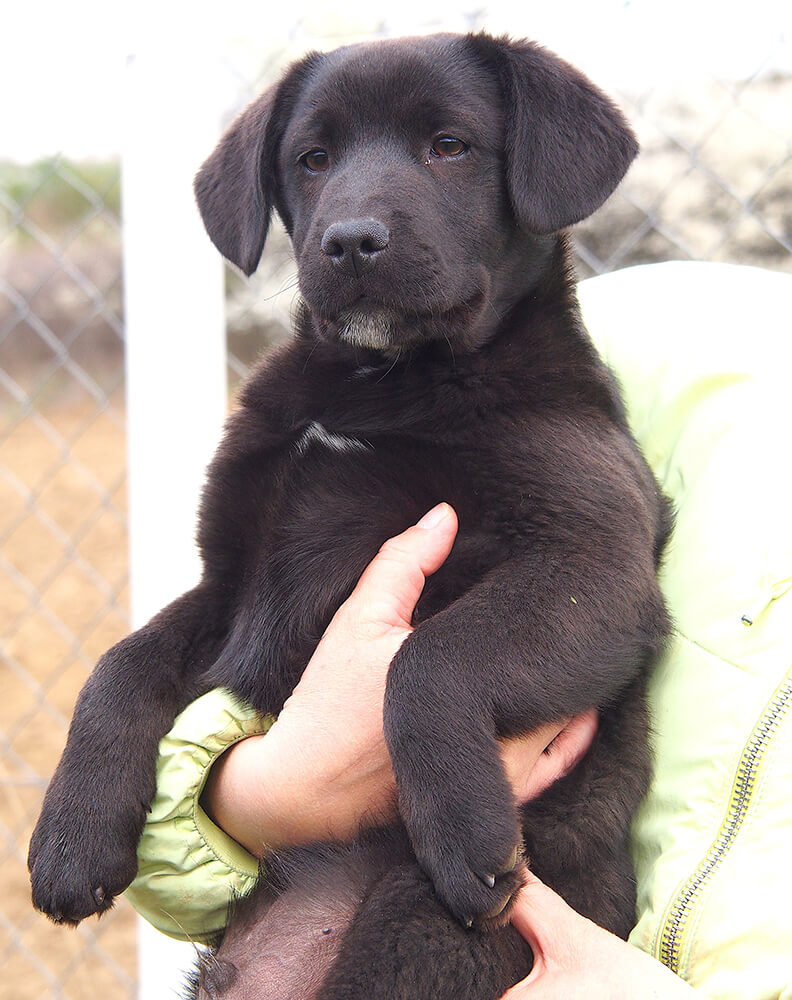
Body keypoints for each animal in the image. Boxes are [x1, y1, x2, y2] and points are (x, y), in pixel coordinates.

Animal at [29, 30, 672, 996]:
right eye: (314, 159)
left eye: (450, 146)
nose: (352, 242)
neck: (382, 382)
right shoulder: (230, 581)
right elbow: (120, 665)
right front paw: (71, 838)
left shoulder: (596, 565)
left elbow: (428, 658)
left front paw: (466, 831)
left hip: (414, 933)